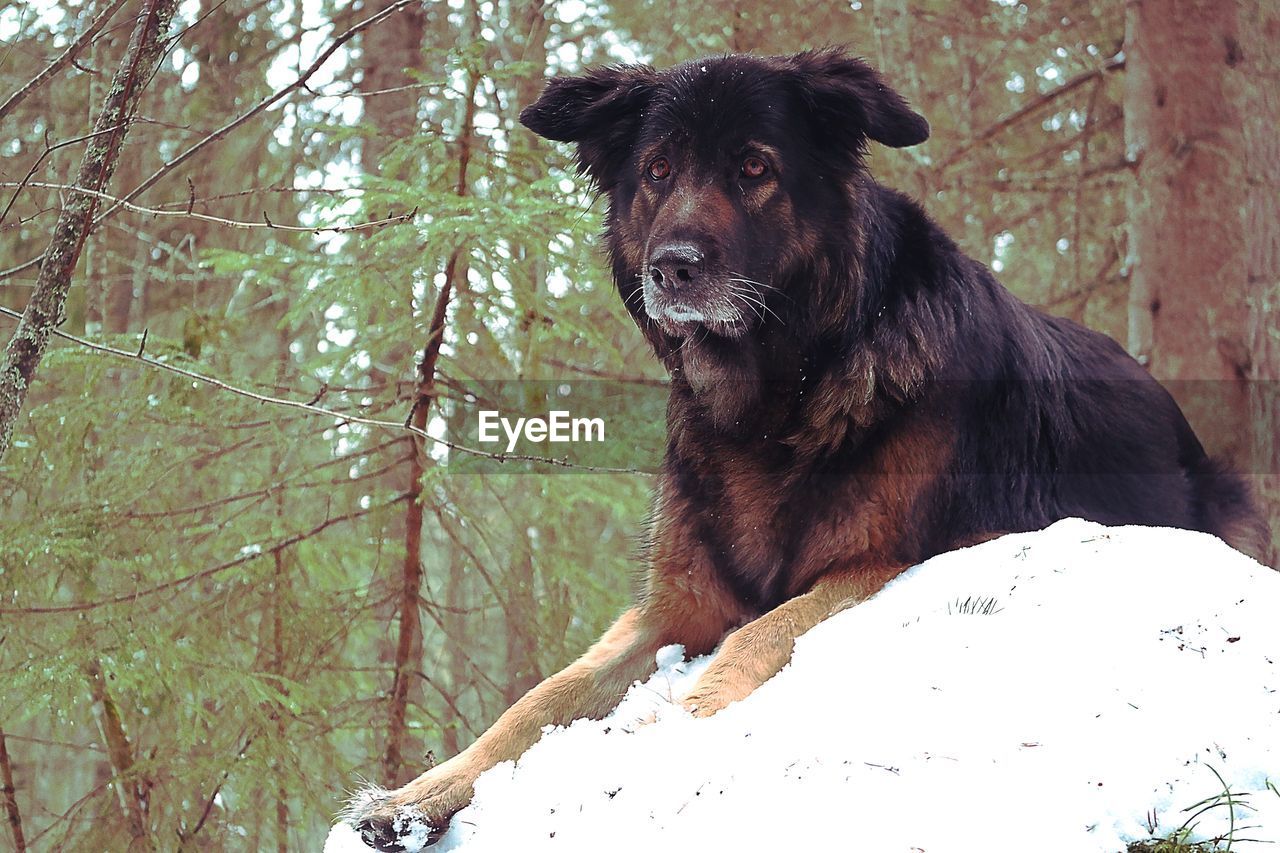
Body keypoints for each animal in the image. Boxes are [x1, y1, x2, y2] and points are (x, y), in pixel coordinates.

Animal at [345, 49, 1264, 845]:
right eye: (658, 170)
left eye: (755, 169)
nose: (671, 268)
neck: (775, 398)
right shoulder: (671, 608)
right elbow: (539, 699)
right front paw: (418, 792)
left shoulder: (875, 563)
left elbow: (757, 635)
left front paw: (676, 723)